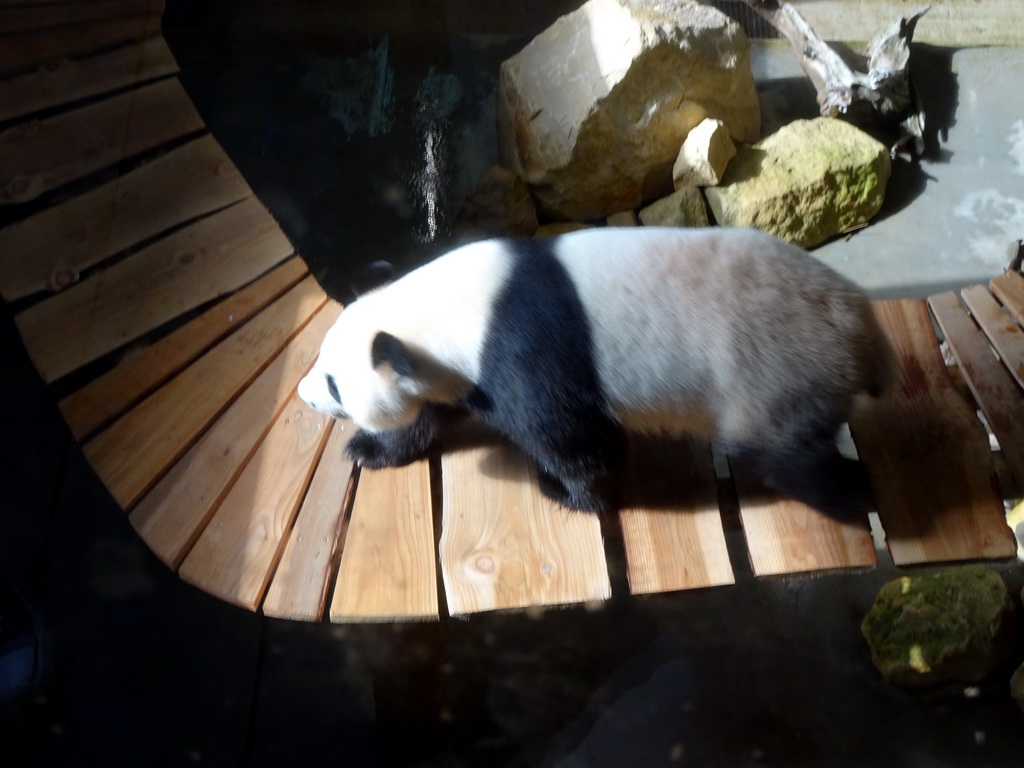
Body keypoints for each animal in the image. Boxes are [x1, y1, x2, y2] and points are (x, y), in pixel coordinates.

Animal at [299, 225, 897, 520]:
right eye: (319, 362)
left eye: (334, 384)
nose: (304, 396)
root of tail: (865, 335)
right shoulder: (449, 370)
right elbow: (429, 414)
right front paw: (371, 450)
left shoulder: (524, 352)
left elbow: (573, 437)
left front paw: (569, 493)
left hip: (775, 371)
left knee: (785, 455)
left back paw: (852, 493)